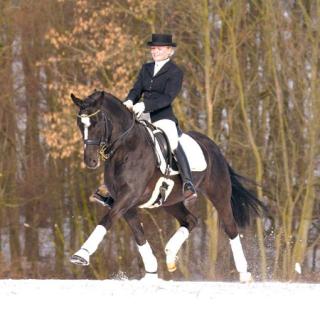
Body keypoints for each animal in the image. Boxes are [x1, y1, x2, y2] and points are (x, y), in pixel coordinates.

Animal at [70, 89, 268, 282]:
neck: (126, 149)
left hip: (218, 194)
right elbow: (138, 234)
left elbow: (107, 220)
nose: (90, 161)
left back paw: (244, 274)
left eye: (96, 122)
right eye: (80, 124)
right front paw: (151, 272)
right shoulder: (124, 201)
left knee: (230, 227)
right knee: (190, 220)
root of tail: (213, 147)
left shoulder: (129, 195)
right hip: (171, 201)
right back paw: (170, 254)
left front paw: (81, 254)